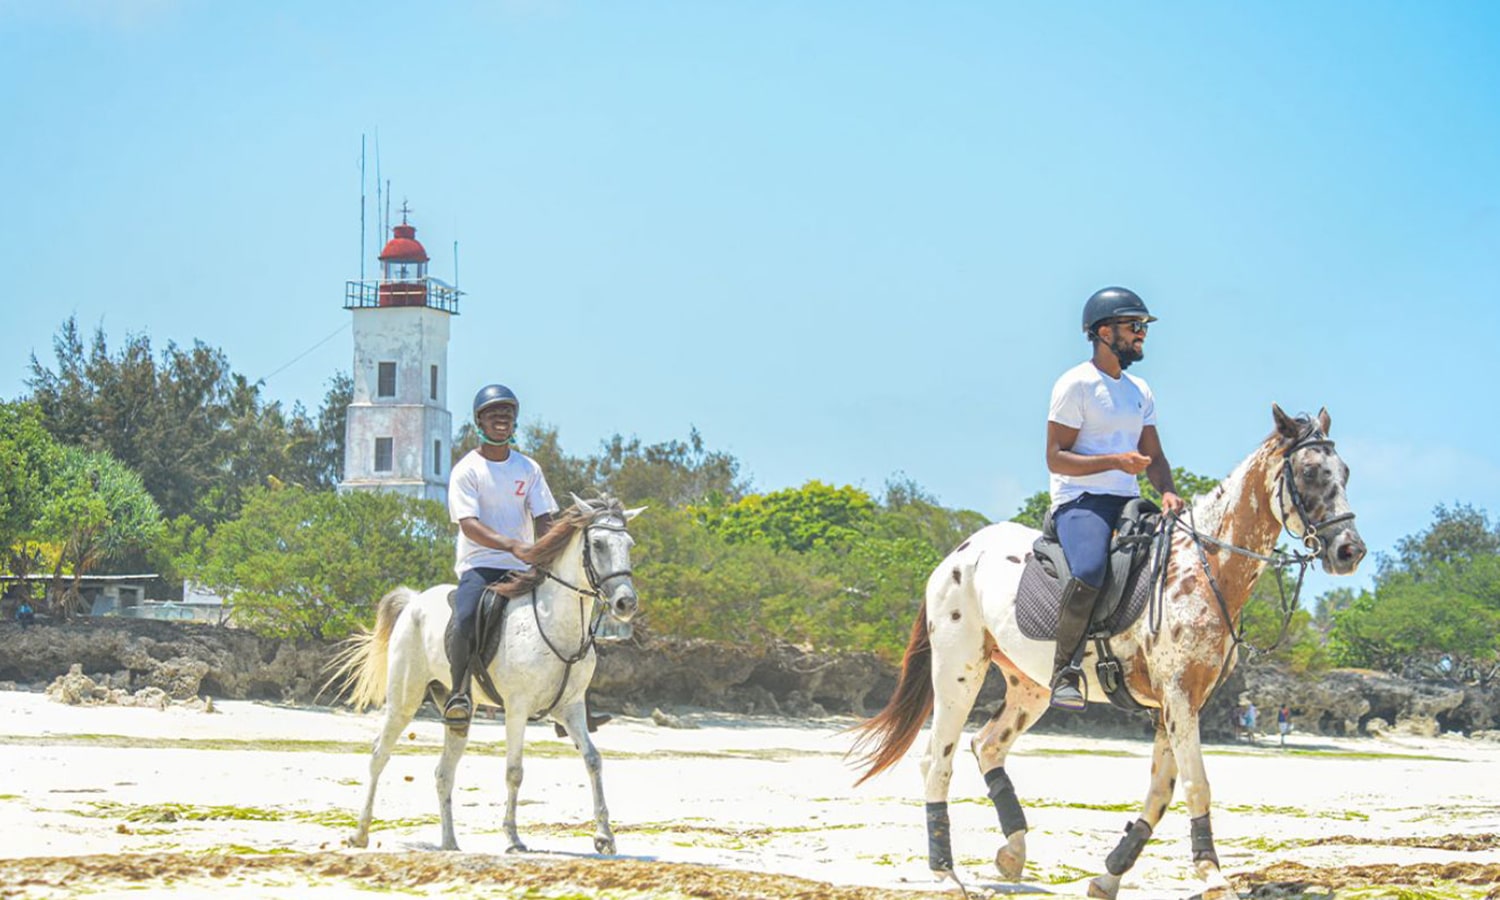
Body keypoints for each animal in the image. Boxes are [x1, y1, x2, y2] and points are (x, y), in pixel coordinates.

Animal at [331, 495, 642, 852]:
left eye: (629, 544)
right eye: (598, 543)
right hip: (403, 701)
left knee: (443, 772)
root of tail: (413, 601)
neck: (556, 624)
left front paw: (604, 836)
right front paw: (513, 837)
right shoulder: (518, 709)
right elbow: (514, 771)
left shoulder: (571, 708)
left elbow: (592, 759)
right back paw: (360, 833)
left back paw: (450, 843)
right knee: (379, 754)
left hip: (455, 710)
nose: (625, 603)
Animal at [852, 411, 1368, 900]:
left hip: (1031, 686)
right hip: (958, 672)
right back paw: (944, 874)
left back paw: (1013, 852)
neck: (1204, 569)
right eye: (1309, 472)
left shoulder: (1178, 703)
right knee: (936, 760)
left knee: (988, 744)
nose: (1350, 551)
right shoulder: (1179, 699)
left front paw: (1110, 875)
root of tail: (958, 553)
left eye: (1344, 471)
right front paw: (1213, 876)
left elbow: (1161, 792)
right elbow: (1196, 785)